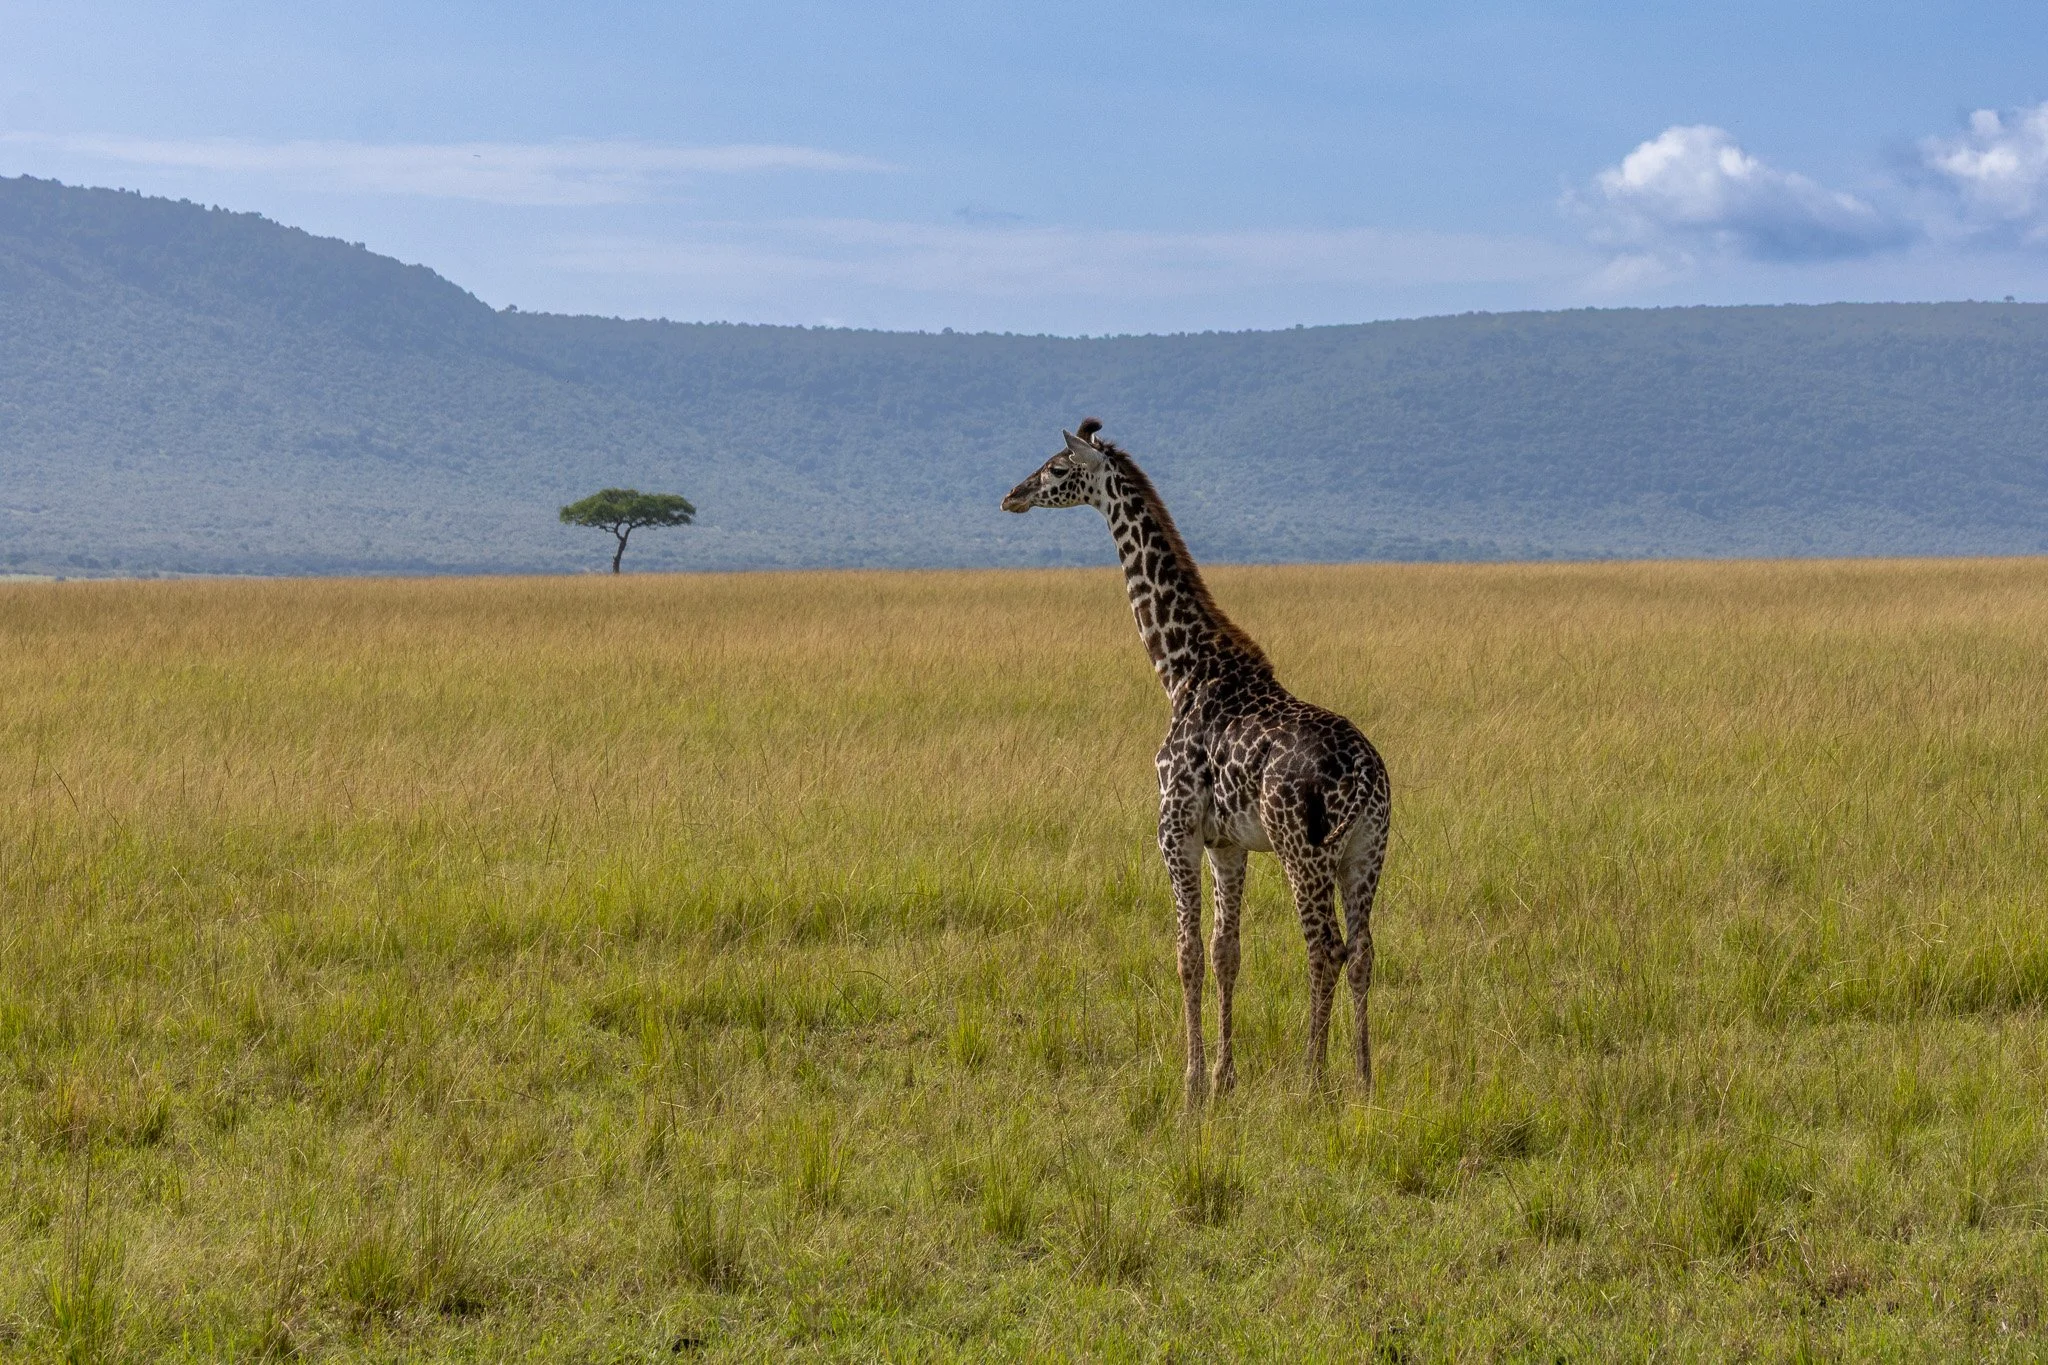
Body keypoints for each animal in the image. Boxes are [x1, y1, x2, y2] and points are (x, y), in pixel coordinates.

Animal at [1002, 419, 1391, 1103]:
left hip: (1304, 851)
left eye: (1055, 469)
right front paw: (1222, 1078)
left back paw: (1312, 1082)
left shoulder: (1174, 829)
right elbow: (1224, 951)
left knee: (1325, 950)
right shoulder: (1227, 843)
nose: (1011, 496)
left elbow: (1185, 954)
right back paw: (1364, 1081)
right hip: (1366, 853)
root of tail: (1370, 779)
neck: (1181, 670)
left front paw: (1189, 1087)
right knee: (1364, 951)